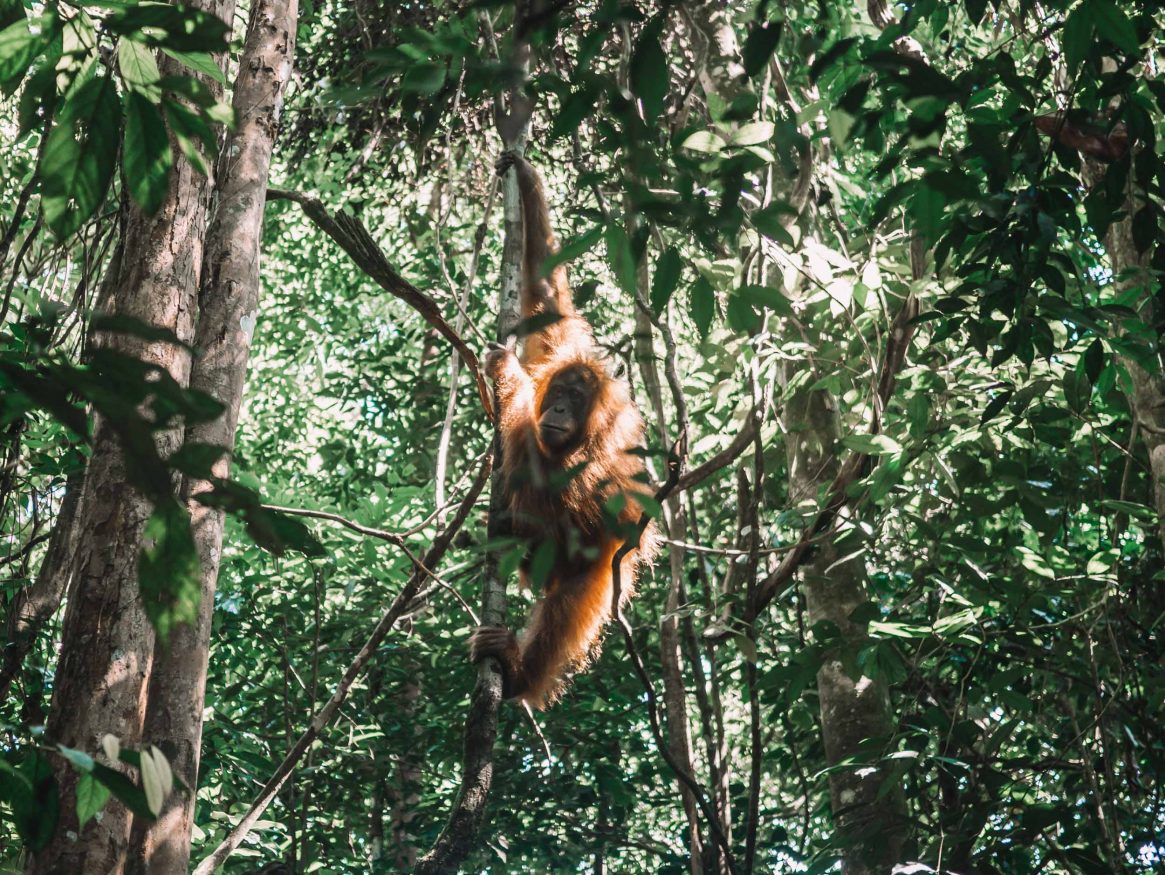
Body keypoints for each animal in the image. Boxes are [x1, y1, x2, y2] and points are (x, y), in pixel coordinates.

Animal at [469, 152, 659, 709]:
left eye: (575, 400)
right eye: (560, 393)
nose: (554, 409)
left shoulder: (605, 462)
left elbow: (574, 499)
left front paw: (508, 375)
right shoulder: (561, 348)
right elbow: (549, 302)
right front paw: (526, 178)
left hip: (597, 574)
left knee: (565, 607)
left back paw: (515, 673)